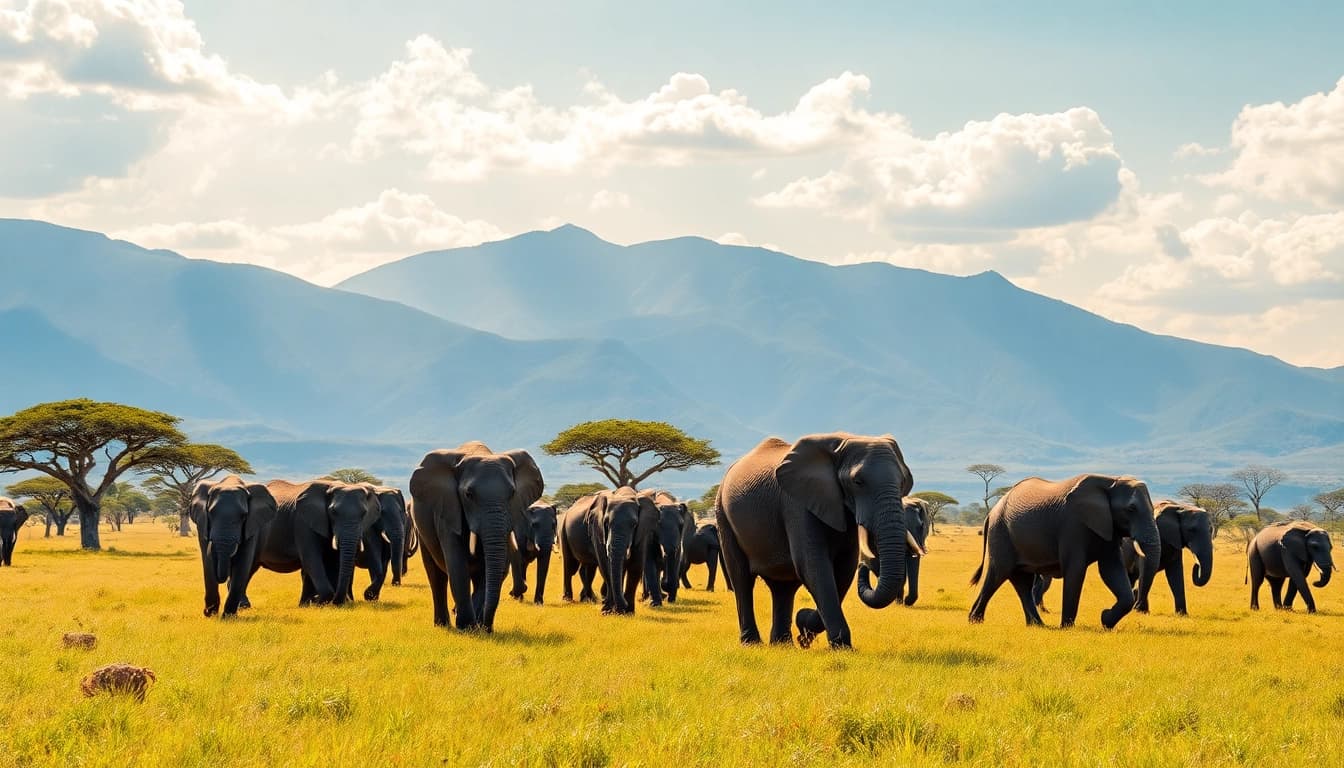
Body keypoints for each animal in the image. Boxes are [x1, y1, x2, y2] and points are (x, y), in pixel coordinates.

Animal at [189, 476, 277, 617]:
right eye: (211, 513)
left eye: (244, 516)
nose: (206, 611)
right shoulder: (202, 524)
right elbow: (207, 562)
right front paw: (210, 614)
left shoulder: (251, 526)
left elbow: (242, 563)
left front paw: (228, 617)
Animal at [253, 480, 381, 606]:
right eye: (333, 512)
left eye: (364, 513)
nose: (368, 595)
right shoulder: (303, 521)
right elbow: (311, 558)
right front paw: (318, 601)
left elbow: (334, 561)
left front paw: (311, 603)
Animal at [409, 442, 545, 631]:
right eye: (468, 495)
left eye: (512, 494)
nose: (488, 628)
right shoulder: (447, 510)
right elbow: (457, 565)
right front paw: (467, 627)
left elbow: (491, 570)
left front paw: (476, 627)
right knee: (436, 575)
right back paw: (443, 624)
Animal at [716, 433, 915, 649]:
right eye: (857, 482)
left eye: (904, 481)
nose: (865, 567)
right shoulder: (796, 502)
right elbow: (812, 565)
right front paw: (841, 646)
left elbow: (844, 569)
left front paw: (804, 628)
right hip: (723, 514)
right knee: (742, 578)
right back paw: (752, 643)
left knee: (783, 587)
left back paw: (783, 645)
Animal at [968, 474, 1161, 629]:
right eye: (1131, 509)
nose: (1140, 609)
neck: (1110, 481)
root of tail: (990, 513)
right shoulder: (1072, 525)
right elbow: (1076, 570)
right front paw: (1067, 627)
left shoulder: (1109, 528)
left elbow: (1111, 570)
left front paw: (1105, 620)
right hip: (1001, 533)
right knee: (998, 574)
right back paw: (975, 621)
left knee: (1022, 581)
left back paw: (1037, 625)